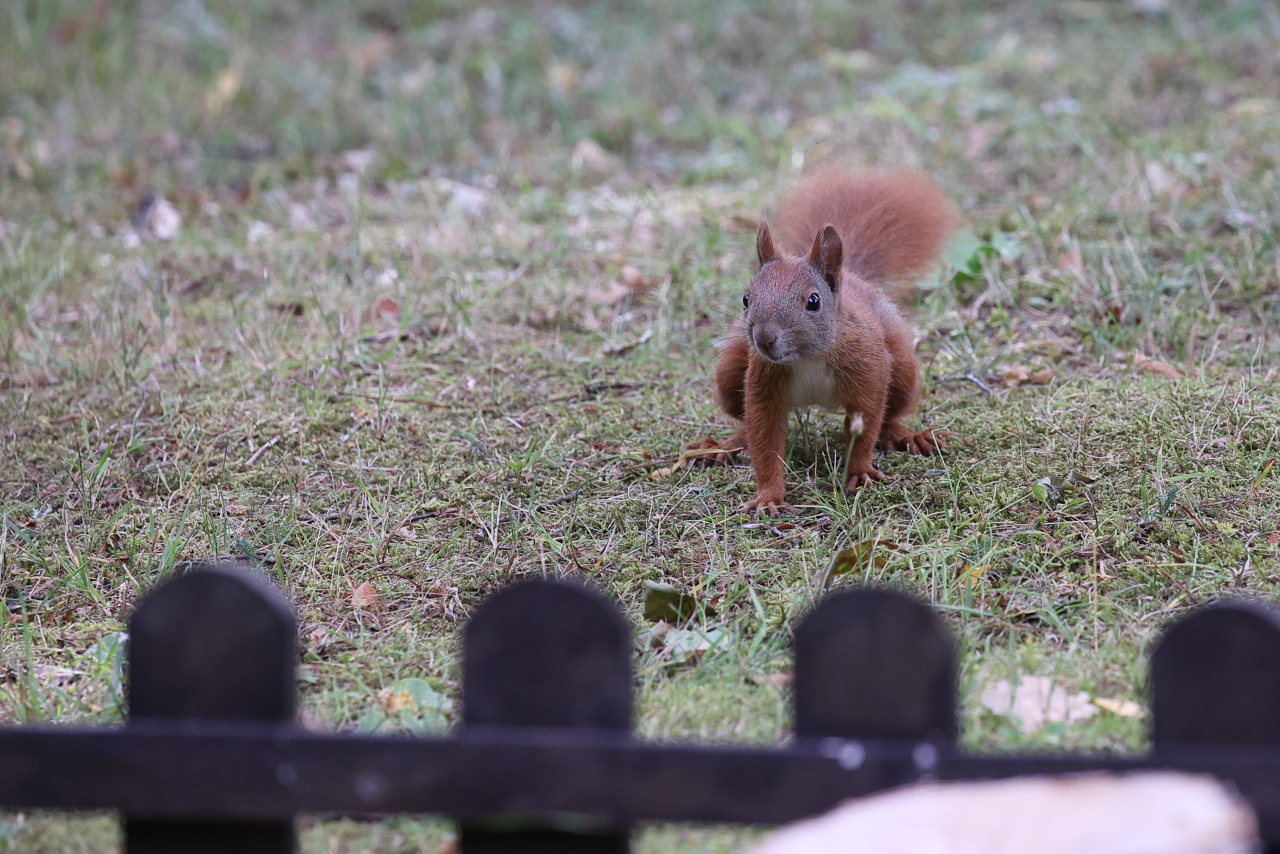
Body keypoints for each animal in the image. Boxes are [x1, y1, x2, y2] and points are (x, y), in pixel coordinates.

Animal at [691, 165, 962, 517]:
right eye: (746, 298)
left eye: (813, 301)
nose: (764, 338)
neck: (806, 358)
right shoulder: (764, 383)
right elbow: (763, 437)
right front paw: (768, 496)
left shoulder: (868, 371)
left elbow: (866, 423)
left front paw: (859, 472)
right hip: (730, 370)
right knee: (743, 420)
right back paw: (726, 445)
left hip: (902, 369)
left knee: (890, 414)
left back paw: (910, 435)